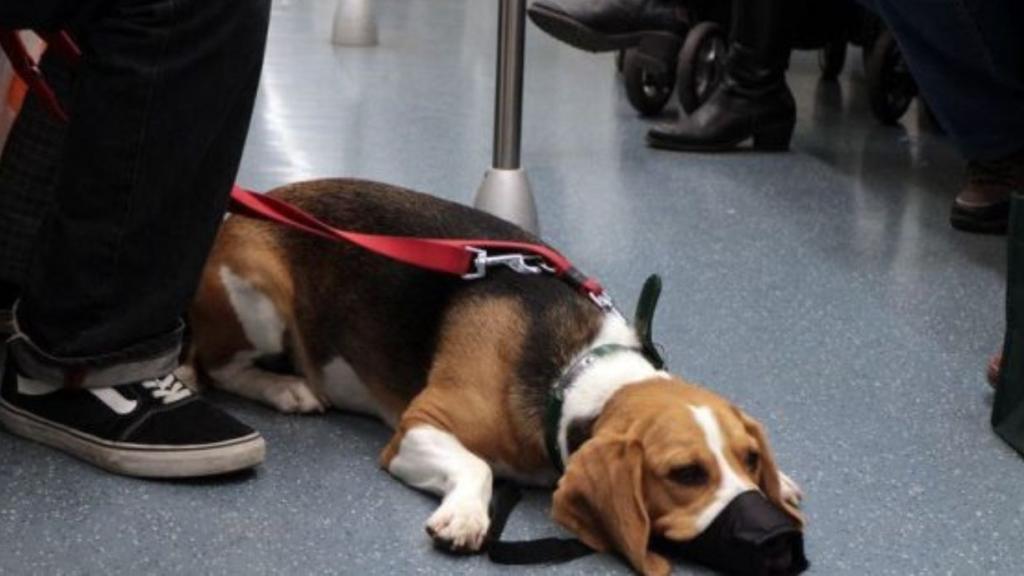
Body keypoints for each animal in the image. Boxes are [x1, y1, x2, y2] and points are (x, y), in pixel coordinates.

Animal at [188, 179, 802, 573]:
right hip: (258, 295)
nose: (778, 540)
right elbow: (477, 465)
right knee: (217, 367)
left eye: (750, 459)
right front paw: (464, 515)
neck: (572, 376)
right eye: (685, 474)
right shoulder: (417, 427)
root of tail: (239, 213)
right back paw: (286, 388)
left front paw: (785, 480)